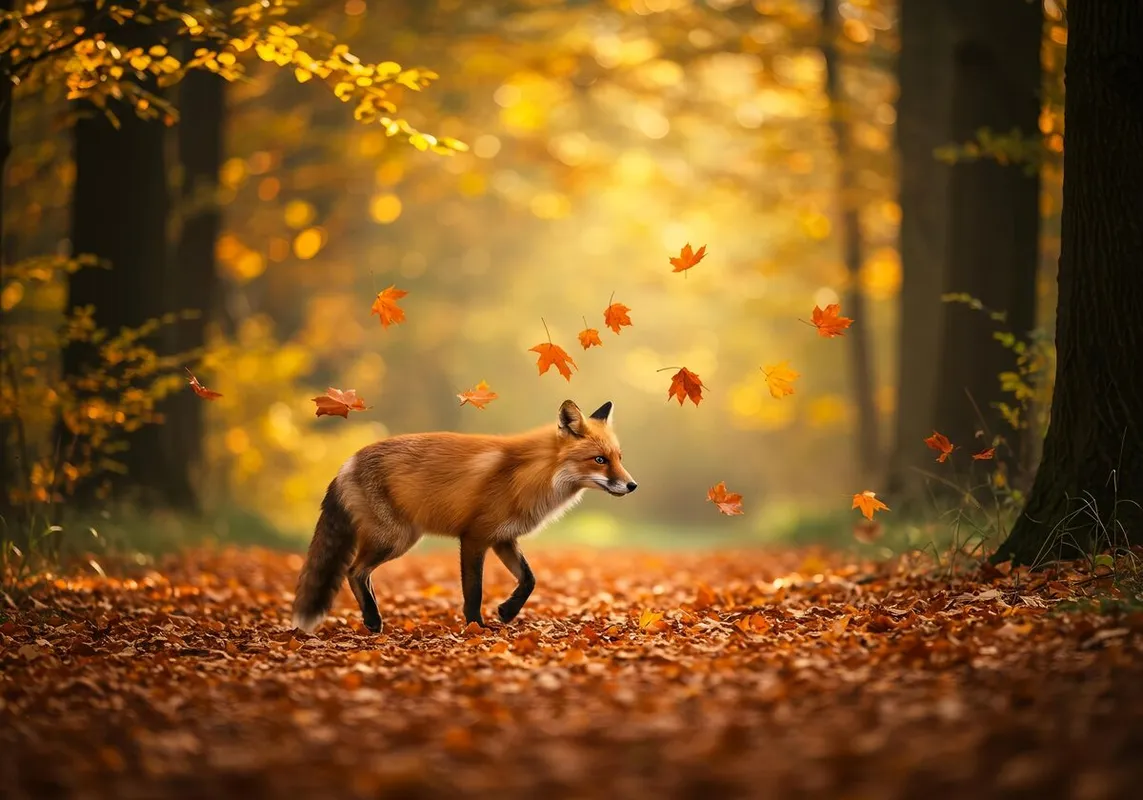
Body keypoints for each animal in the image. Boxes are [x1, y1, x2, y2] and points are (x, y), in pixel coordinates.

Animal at [291, 399, 637, 634]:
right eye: (600, 460)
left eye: (619, 458)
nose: (632, 485)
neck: (529, 474)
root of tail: (347, 462)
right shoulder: (474, 538)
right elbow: (474, 590)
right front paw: (476, 628)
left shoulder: (503, 538)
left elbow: (529, 580)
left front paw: (507, 612)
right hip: (395, 539)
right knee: (353, 571)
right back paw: (373, 620)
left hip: (400, 538)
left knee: (360, 574)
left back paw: (372, 620)